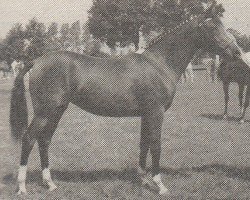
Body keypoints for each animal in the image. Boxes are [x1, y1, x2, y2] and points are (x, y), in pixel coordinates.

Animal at [10, 3, 246, 196]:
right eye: (212, 27)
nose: (237, 52)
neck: (159, 64)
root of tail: (36, 61)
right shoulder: (156, 113)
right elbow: (156, 144)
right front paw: (159, 184)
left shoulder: (146, 114)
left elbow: (144, 143)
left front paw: (143, 179)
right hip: (45, 112)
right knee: (29, 139)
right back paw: (21, 187)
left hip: (57, 110)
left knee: (44, 140)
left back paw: (50, 184)